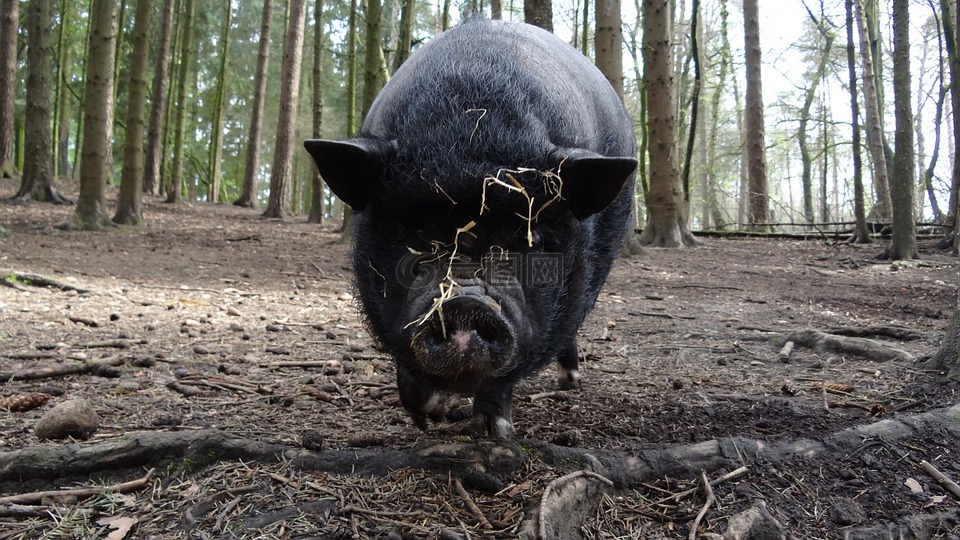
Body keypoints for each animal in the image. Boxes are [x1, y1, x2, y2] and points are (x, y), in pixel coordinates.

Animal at [306, 17, 636, 438]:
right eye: (414, 229)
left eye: (530, 237)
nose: (464, 303)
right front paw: (428, 417)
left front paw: (492, 430)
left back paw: (569, 383)